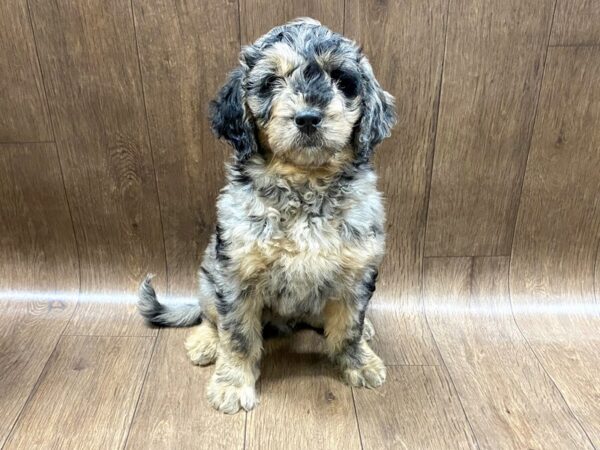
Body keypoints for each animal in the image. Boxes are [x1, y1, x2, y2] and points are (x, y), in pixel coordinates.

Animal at [138, 17, 396, 414]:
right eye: (272, 81)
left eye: (341, 79)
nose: (308, 118)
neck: (305, 186)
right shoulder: (237, 276)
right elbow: (238, 336)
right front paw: (232, 385)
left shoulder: (357, 271)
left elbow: (349, 327)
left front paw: (358, 363)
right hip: (209, 277)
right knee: (210, 315)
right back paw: (205, 342)